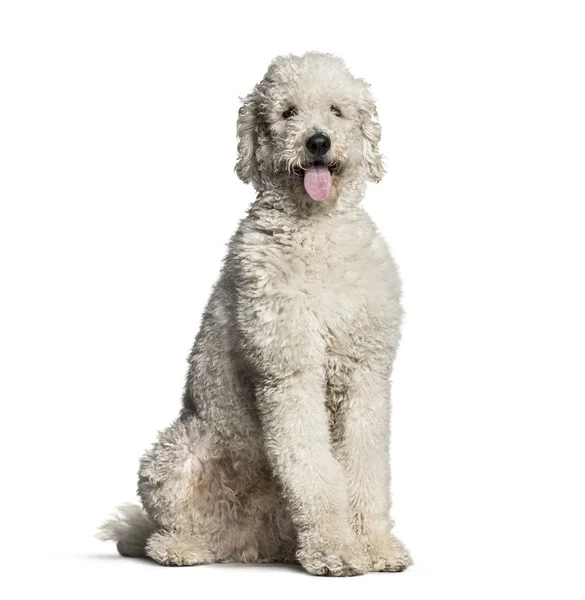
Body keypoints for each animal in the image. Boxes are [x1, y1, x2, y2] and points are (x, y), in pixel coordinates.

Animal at [99, 51, 410, 576]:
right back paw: (182, 548)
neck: (316, 232)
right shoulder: (290, 372)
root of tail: (246, 541)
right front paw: (335, 549)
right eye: (287, 112)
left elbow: (367, 466)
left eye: (337, 110)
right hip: (177, 451)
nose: (318, 141)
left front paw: (374, 546)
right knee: (168, 529)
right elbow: (313, 468)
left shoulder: (365, 374)